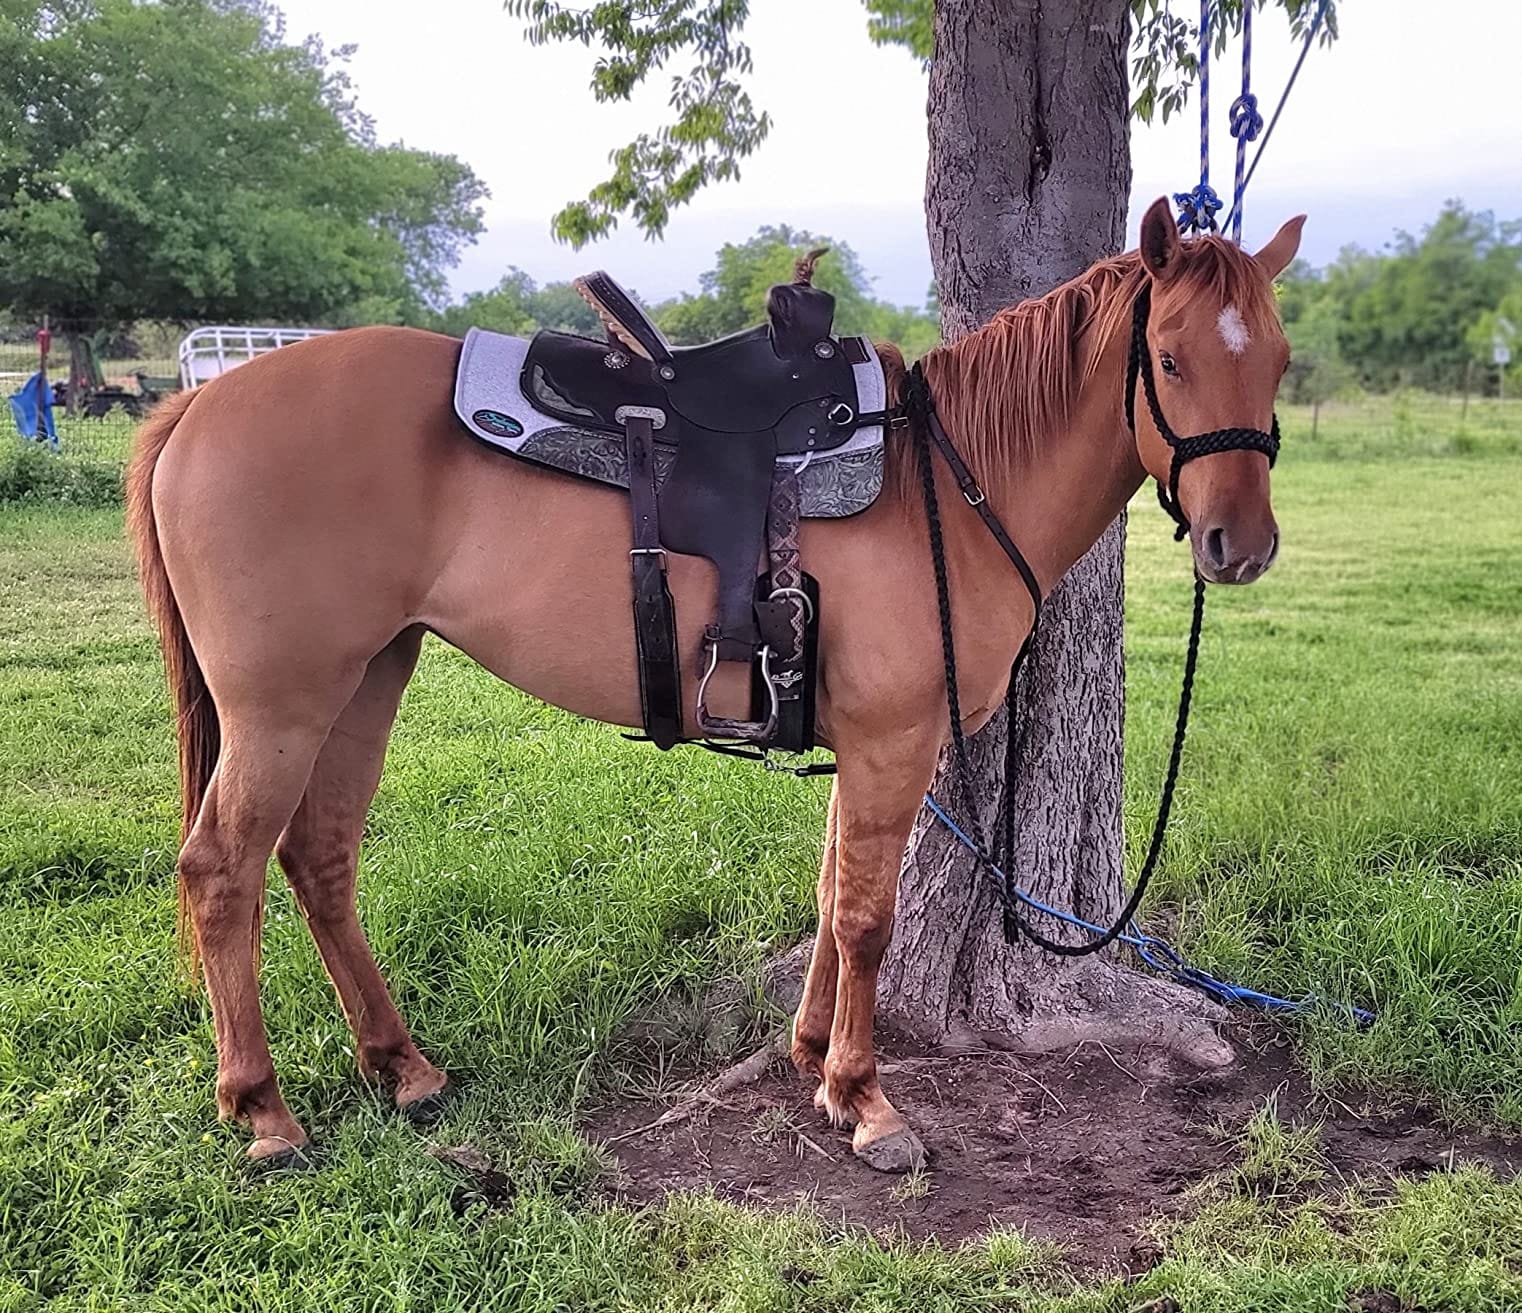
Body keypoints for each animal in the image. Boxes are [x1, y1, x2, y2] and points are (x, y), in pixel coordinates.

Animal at [127, 198, 1303, 1170]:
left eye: (1280, 360)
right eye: (1169, 358)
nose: (1238, 544)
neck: (949, 481)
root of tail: (200, 404)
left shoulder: (862, 742)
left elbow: (831, 896)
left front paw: (812, 1055)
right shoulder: (892, 740)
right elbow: (867, 917)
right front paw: (866, 1098)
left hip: (370, 674)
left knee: (319, 856)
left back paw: (402, 1066)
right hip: (282, 703)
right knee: (221, 869)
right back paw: (264, 1109)